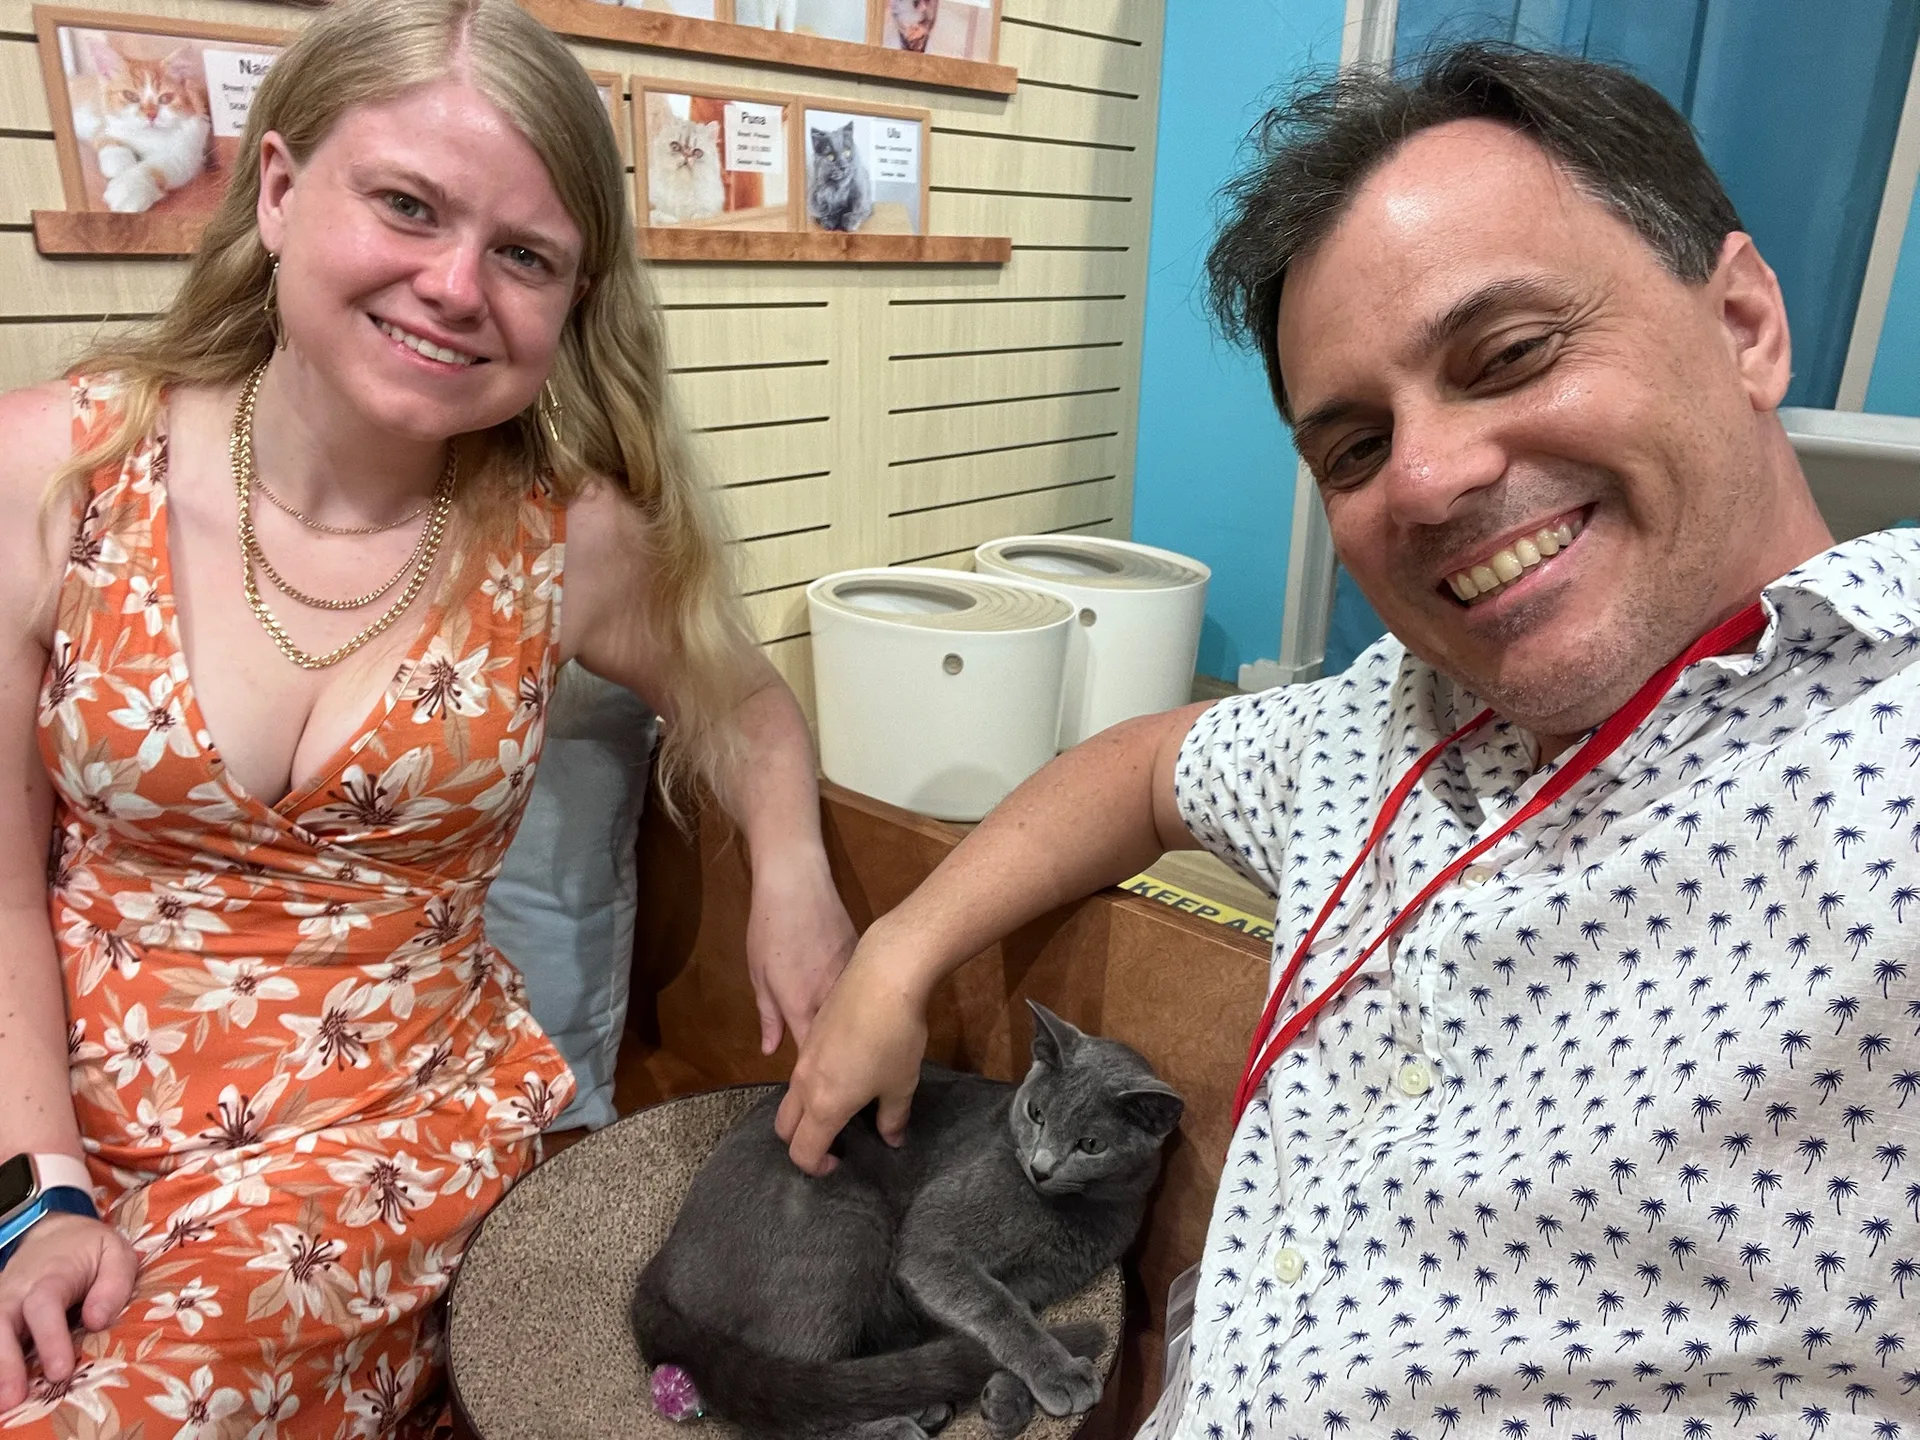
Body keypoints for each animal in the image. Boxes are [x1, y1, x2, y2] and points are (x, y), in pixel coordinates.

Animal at [70, 35, 211, 215]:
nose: (151, 115)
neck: (147, 137)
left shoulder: (188, 153)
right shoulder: (105, 123)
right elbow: (108, 141)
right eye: (130, 96)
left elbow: (156, 166)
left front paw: (126, 189)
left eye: (165, 98)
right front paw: (120, 165)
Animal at [632, 1003, 1184, 1440]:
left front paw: (1008, 1396)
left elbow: (1008, 1319)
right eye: (1036, 1113)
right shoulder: (931, 1246)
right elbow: (995, 1309)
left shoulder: (1036, 1281)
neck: (1077, 1213)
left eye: (1091, 1145)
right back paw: (895, 1425)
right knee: (786, 1406)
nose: (1041, 1166)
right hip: (846, 1228)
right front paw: (1060, 1374)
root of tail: (660, 1266)